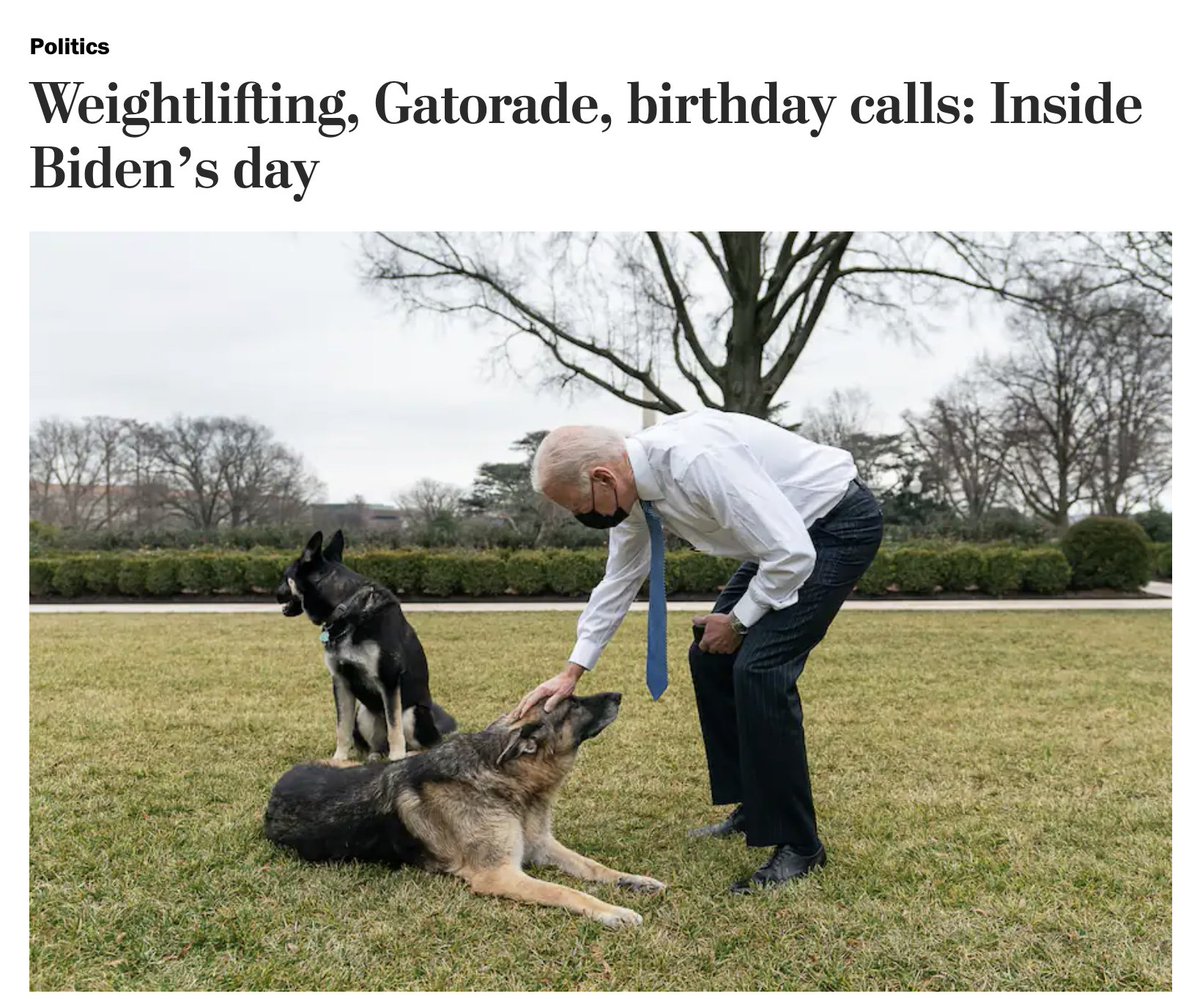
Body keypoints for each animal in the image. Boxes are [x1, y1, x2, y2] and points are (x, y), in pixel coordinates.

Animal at [263, 691, 665, 927]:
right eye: (575, 704)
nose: (619, 695)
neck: (504, 777)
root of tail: (276, 790)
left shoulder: (541, 846)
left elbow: (593, 867)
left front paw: (633, 880)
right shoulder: (499, 875)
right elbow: (566, 891)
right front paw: (612, 911)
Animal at [275, 529, 456, 762]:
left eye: (285, 576)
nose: (275, 593)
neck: (346, 607)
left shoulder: (389, 680)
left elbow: (394, 728)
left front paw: (397, 758)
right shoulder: (340, 681)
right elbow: (342, 728)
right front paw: (338, 759)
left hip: (412, 713)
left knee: (423, 744)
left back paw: (407, 753)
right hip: (364, 713)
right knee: (376, 744)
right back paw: (375, 755)